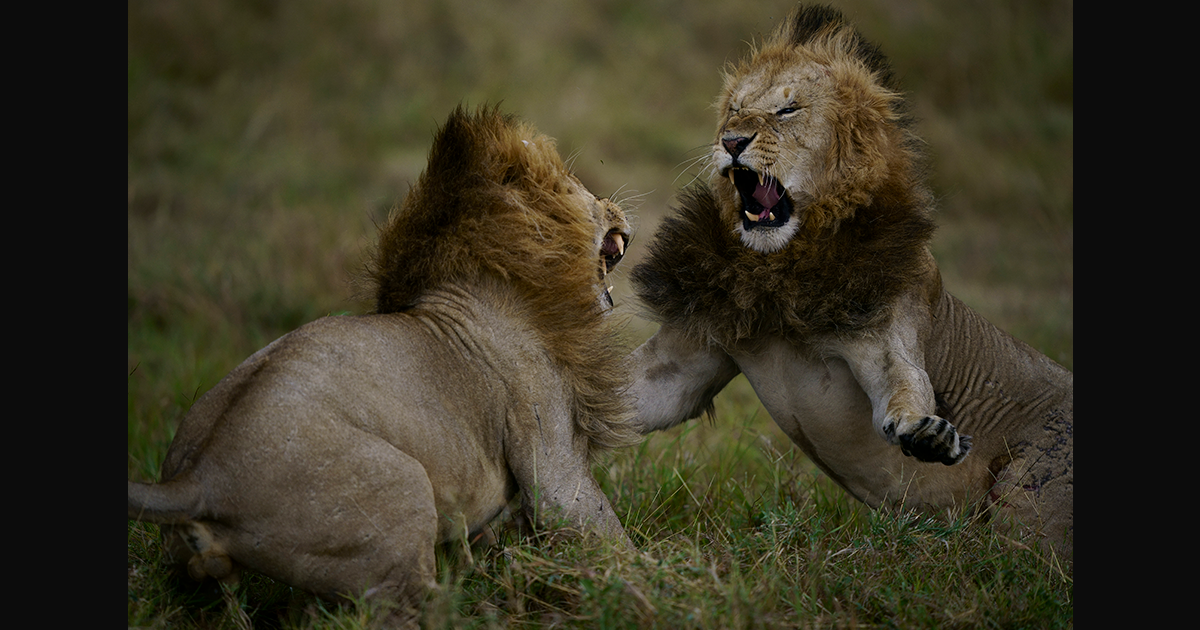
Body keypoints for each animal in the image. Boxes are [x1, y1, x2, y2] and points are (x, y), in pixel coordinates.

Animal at [126, 105, 643, 619]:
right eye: (579, 184)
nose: (616, 206)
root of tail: (198, 477)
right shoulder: (549, 451)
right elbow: (592, 521)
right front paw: (647, 582)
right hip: (402, 488)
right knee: (410, 605)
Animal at [624, 7, 1075, 559]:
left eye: (788, 110)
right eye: (734, 109)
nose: (731, 142)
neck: (780, 270)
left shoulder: (889, 326)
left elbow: (904, 386)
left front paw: (924, 433)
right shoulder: (694, 354)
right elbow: (633, 393)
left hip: (1033, 489)